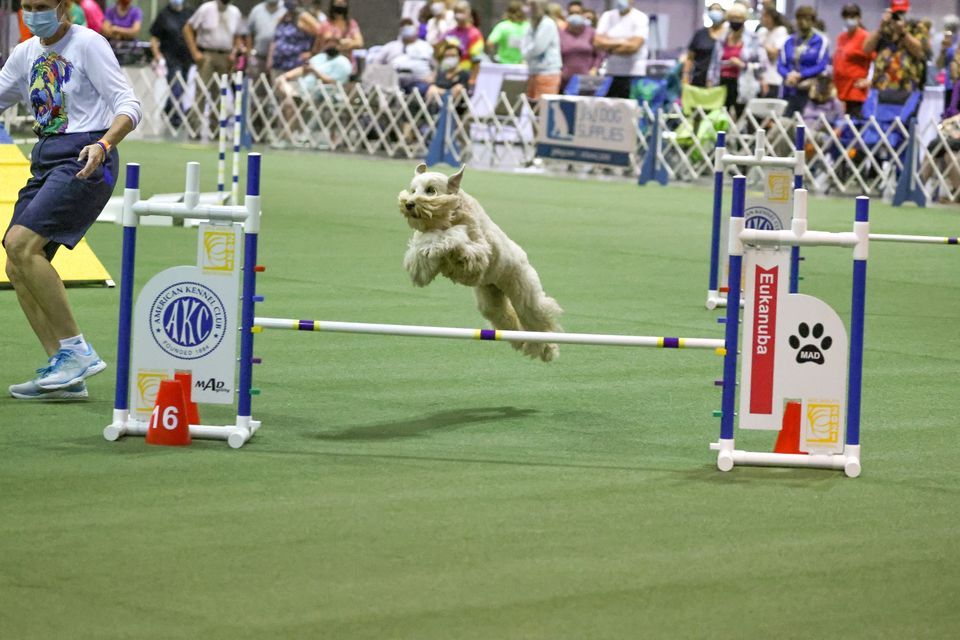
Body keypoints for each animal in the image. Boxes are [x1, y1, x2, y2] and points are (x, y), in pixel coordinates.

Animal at [396, 162, 564, 362]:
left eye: (431, 190)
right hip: (491, 299)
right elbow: (421, 254)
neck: (451, 214)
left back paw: (548, 349)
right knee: (506, 318)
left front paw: (442, 244)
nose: (409, 204)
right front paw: (427, 253)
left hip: (525, 293)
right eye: (413, 190)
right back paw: (522, 342)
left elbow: (455, 239)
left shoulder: (480, 253)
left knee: (537, 317)